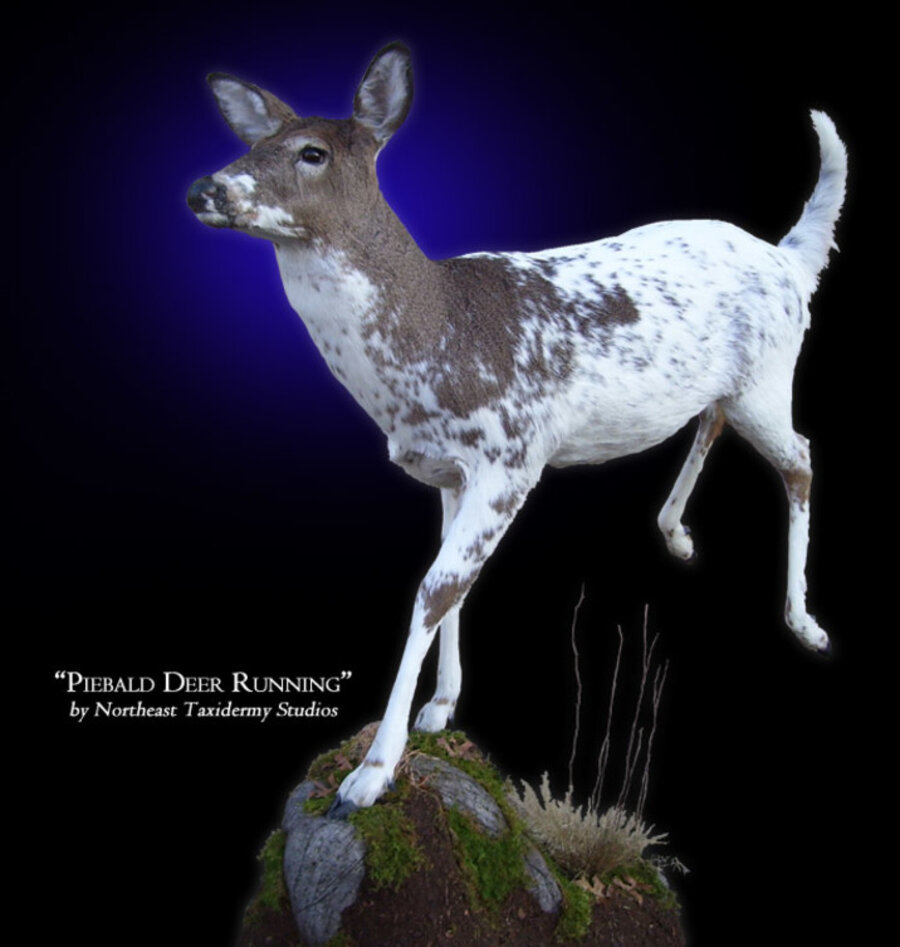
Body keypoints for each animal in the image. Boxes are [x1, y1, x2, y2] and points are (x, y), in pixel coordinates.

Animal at [187, 42, 846, 814]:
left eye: (311, 152)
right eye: (251, 143)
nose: (203, 187)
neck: (434, 344)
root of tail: (789, 259)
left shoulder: (512, 455)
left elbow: (436, 588)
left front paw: (372, 772)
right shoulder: (447, 470)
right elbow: (448, 583)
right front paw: (442, 706)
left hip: (772, 373)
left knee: (800, 458)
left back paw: (805, 622)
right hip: (729, 383)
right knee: (711, 421)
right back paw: (675, 531)